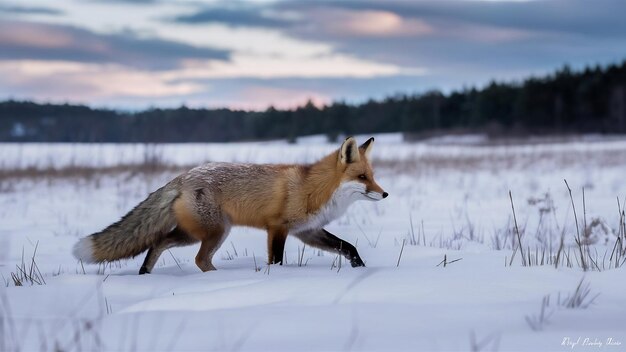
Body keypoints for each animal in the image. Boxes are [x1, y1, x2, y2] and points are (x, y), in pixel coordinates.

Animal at [73, 136, 386, 274]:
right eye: (362, 178)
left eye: (372, 176)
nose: (384, 194)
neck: (312, 188)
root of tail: (182, 177)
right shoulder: (277, 228)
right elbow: (277, 260)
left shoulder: (307, 231)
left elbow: (348, 247)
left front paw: (360, 268)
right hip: (214, 232)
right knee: (198, 258)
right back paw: (215, 280)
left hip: (196, 232)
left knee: (158, 242)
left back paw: (145, 273)